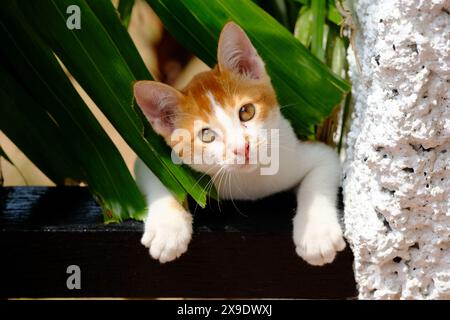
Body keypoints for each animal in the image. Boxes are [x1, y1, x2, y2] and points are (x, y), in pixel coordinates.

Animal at [133, 21, 344, 264]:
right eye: (207, 135)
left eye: (246, 112)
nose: (242, 148)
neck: (248, 182)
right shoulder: (151, 158)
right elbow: (160, 175)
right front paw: (167, 230)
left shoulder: (315, 152)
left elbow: (319, 179)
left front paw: (317, 234)